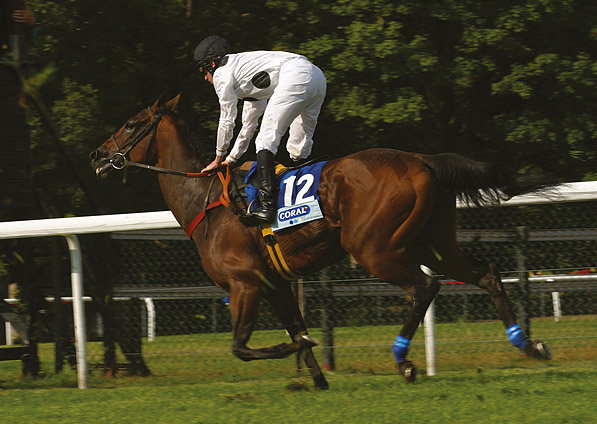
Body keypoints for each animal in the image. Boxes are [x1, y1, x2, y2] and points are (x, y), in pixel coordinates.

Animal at [88, 94, 556, 390]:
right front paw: (316, 376)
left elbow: (242, 347)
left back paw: (404, 361)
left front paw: (297, 349)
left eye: (131, 124)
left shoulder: (245, 284)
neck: (207, 202)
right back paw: (528, 344)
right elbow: (299, 334)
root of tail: (422, 160)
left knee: (424, 287)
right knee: (486, 274)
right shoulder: (274, 285)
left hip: (372, 248)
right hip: (433, 243)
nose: (97, 155)